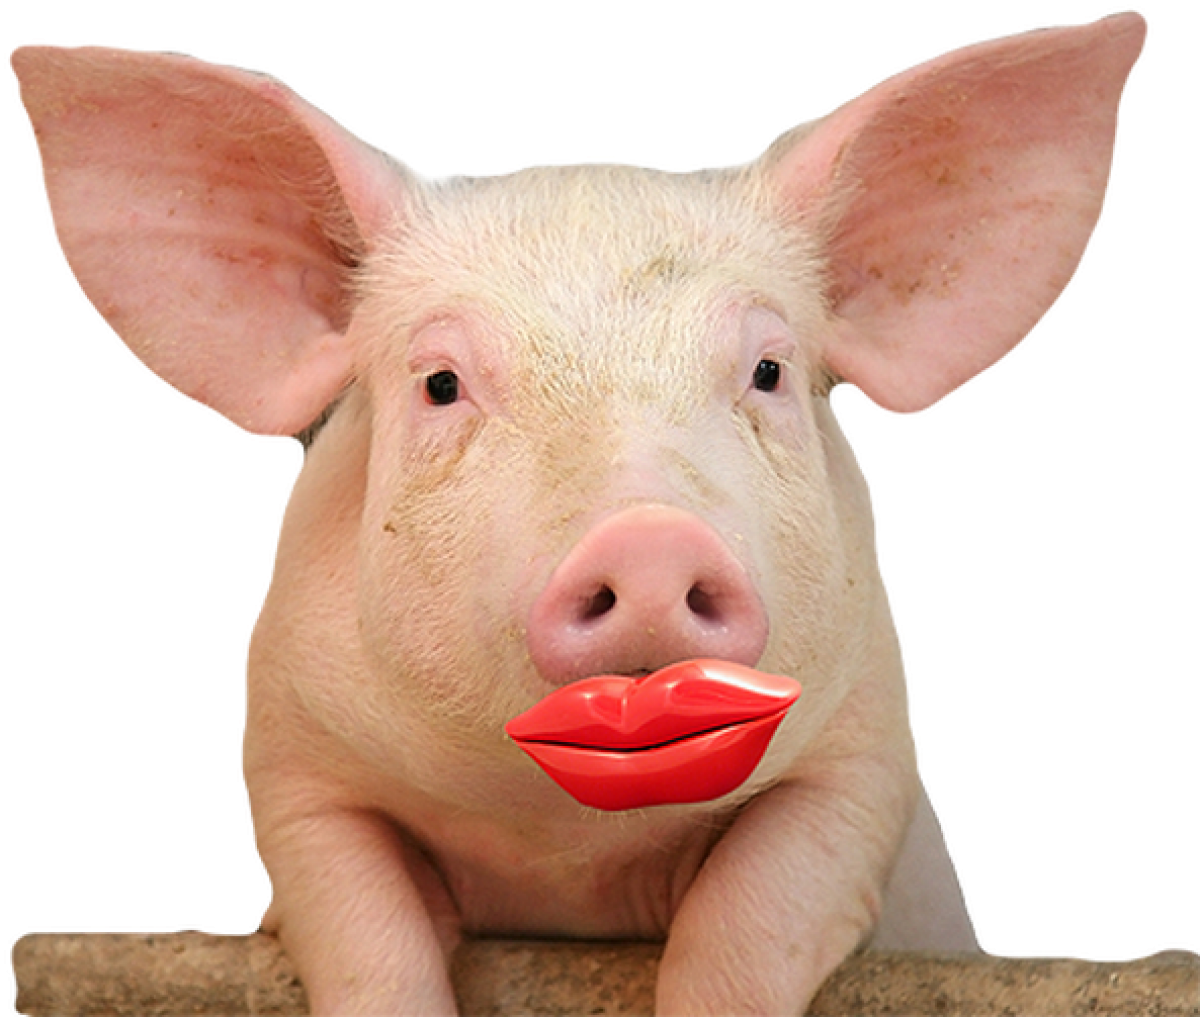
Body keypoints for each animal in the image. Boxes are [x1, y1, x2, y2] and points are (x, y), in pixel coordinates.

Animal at [9, 12, 1151, 1016]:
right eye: (440, 384)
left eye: (769, 371)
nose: (647, 537)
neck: (567, 849)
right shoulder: (293, 754)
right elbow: (361, 928)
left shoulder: (864, 752)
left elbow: (755, 916)